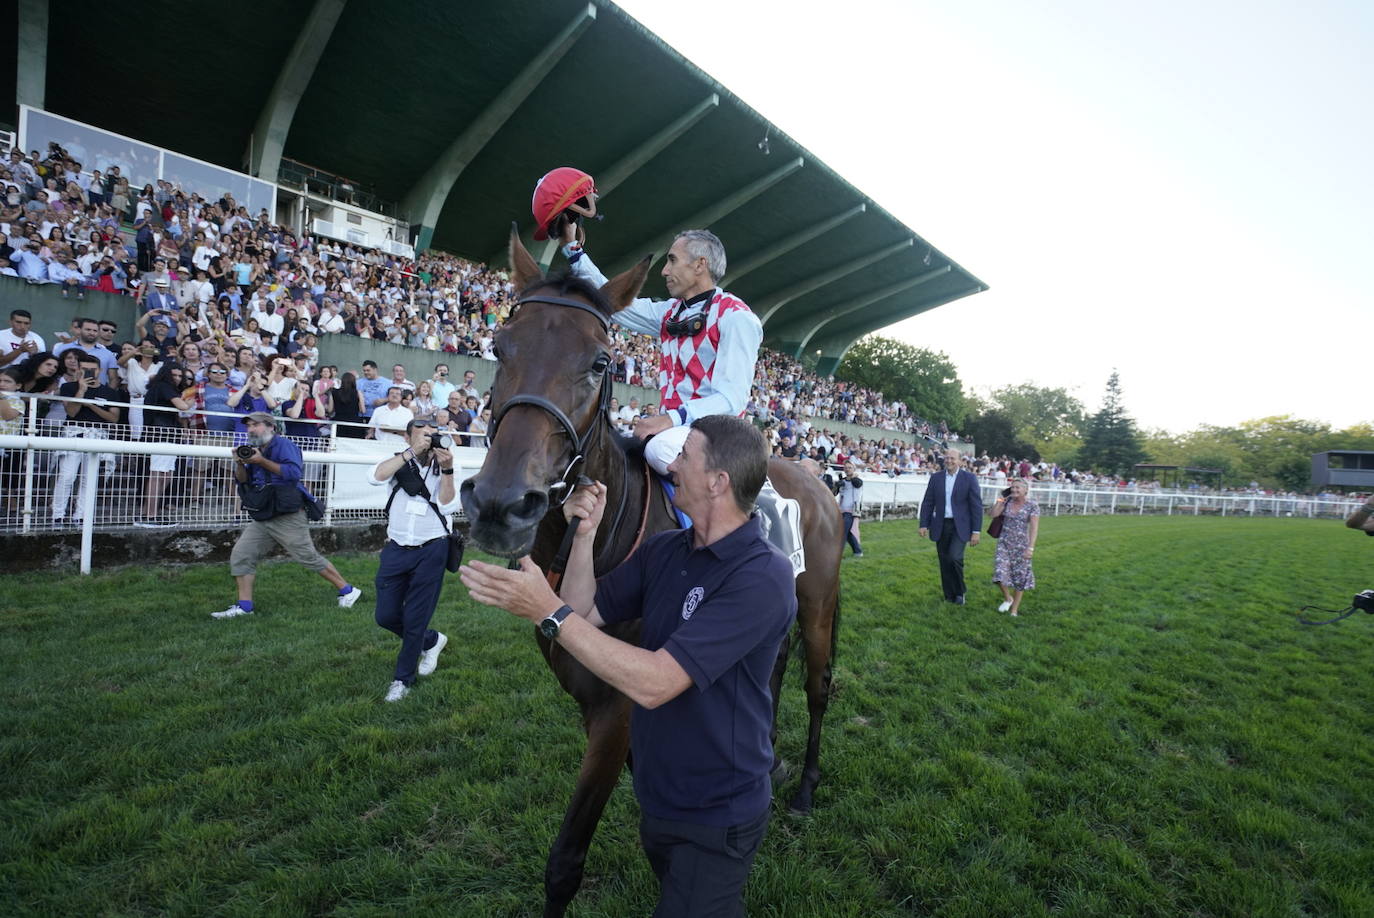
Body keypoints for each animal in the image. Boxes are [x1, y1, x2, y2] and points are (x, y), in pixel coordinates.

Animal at [461, 225, 840, 912]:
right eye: (499, 347)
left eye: (600, 362)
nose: (501, 504)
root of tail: (817, 479)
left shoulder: (618, 710)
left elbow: (566, 861)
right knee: (770, 670)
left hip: (820, 606)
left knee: (818, 685)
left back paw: (803, 788)